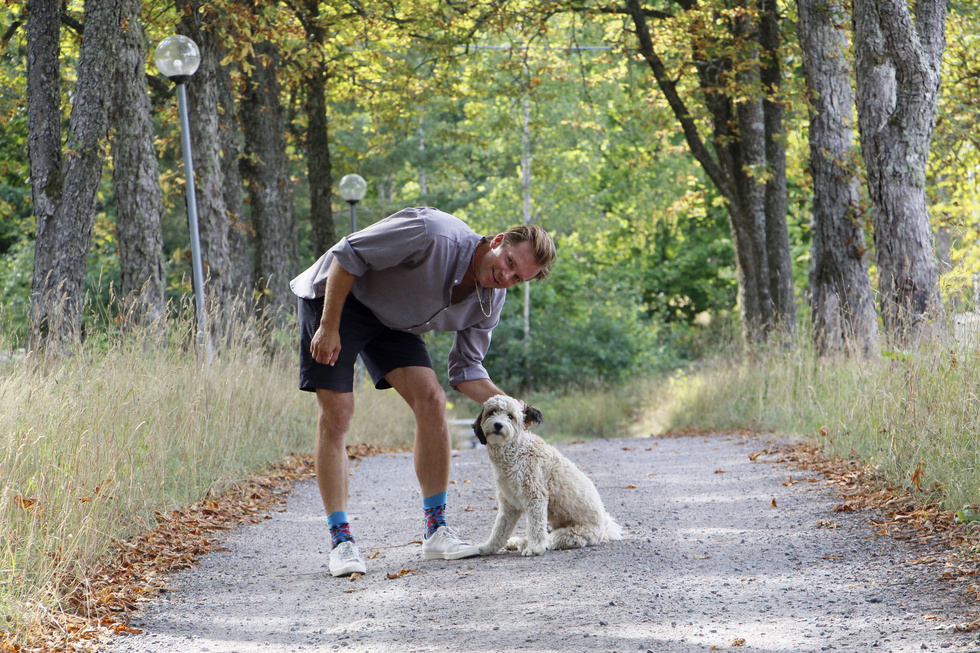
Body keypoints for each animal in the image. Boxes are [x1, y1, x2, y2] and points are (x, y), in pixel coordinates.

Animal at [472, 392, 624, 556]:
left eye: (510, 416)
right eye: (491, 412)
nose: (498, 425)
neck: (515, 451)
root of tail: (604, 530)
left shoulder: (535, 496)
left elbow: (536, 527)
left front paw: (534, 548)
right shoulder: (509, 504)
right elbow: (500, 529)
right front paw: (489, 546)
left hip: (572, 534)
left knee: (550, 538)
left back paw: (525, 543)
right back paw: (517, 542)